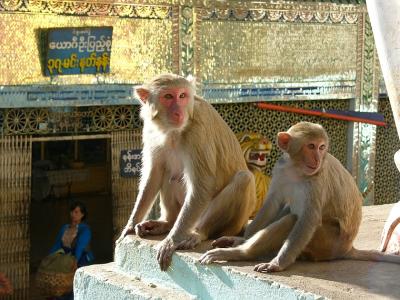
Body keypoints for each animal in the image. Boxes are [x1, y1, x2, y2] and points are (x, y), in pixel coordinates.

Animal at [116, 74, 256, 270]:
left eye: (182, 96)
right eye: (168, 96)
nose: (178, 113)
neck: (172, 130)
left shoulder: (198, 132)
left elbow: (203, 184)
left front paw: (172, 241)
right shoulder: (150, 130)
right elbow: (153, 175)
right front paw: (130, 224)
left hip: (230, 225)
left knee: (244, 178)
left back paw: (197, 233)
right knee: (168, 173)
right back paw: (166, 223)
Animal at [200, 121, 400, 272]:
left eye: (321, 147)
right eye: (311, 146)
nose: (318, 158)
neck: (296, 169)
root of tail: (348, 248)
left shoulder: (317, 181)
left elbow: (309, 219)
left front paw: (277, 264)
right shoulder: (281, 170)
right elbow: (272, 204)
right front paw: (242, 238)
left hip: (327, 244)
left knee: (293, 219)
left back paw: (241, 254)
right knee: (288, 210)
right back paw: (239, 244)